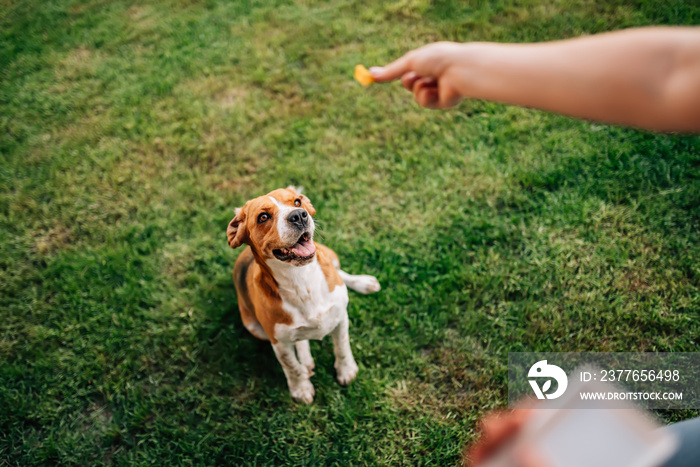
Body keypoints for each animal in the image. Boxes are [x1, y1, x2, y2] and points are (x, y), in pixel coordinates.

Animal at [227, 186, 380, 402]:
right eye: (263, 217)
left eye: (297, 202)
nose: (299, 215)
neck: (301, 279)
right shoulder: (279, 342)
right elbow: (291, 367)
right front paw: (301, 388)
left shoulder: (341, 318)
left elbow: (342, 347)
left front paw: (346, 370)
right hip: (254, 328)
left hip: (330, 256)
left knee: (340, 272)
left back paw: (364, 283)